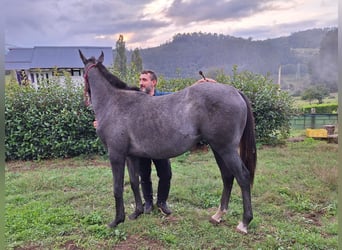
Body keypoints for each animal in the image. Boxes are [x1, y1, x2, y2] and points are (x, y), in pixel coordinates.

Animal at [79, 49, 256, 233]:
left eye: (82, 73)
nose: (86, 100)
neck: (114, 102)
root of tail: (235, 91)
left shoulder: (116, 155)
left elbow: (117, 188)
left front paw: (117, 220)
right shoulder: (130, 156)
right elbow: (135, 182)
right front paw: (137, 212)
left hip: (226, 149)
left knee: (243, 177)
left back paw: (244, 222)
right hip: (218, 149)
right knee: (227, 176)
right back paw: (218, 215)